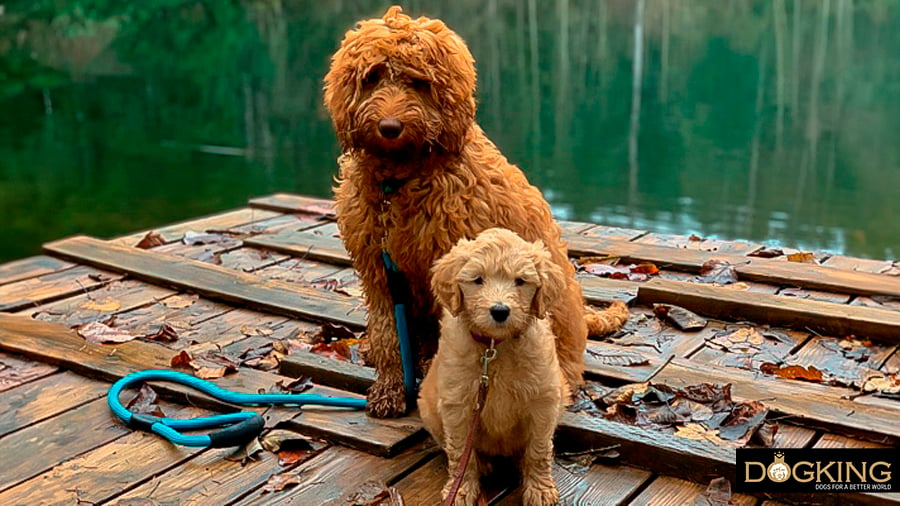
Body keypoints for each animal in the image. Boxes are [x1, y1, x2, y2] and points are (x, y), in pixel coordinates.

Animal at [326, 5, 628, 418]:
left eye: (418, 82)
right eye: (371, 77)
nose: (389, 127)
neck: (399, 181)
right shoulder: (379, 270)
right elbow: (390, 333)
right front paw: (390, 388)